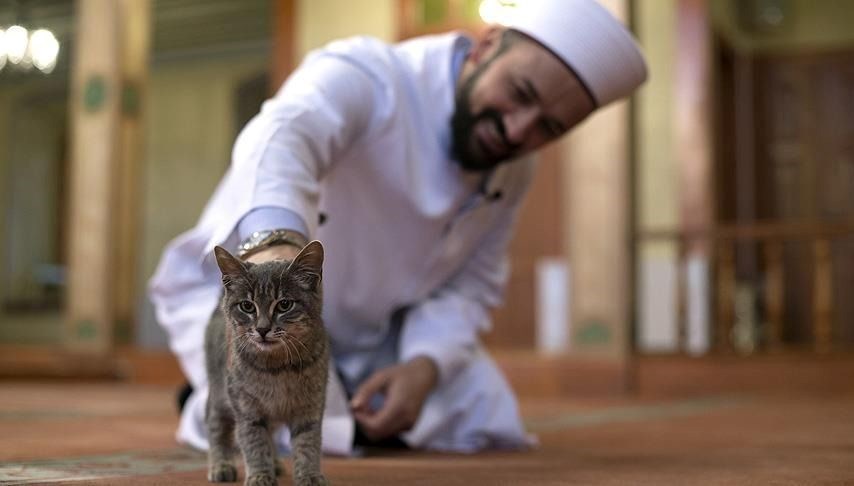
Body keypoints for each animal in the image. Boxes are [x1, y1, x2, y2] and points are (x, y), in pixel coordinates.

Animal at [206, 242, 330, 486]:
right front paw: (260, 475)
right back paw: (221, 464)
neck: (278, 368)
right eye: (247, 306)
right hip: (219, 395)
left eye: (284, 305)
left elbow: (307, 444)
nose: (262, 329)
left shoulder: (310, 407)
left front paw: (309, 475)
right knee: (215, 427)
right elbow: (254, 443)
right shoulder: (247, 410)